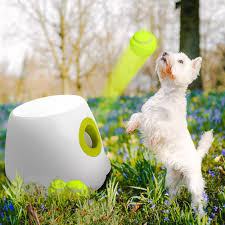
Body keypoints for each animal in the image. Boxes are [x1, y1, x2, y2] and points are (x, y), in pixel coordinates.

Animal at [126, 51, 214, 214]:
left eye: (181, 60)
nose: (164, 52)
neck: (167, 94)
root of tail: (197, 157)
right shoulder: (146, 116)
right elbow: (137, 116)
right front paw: (130, 126)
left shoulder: (169, 126)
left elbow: (160, 128)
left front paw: (153, 138)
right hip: (171, 179)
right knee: (173, 193)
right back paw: (168, 207)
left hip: (193, 182)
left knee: (198, 198)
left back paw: (199, 214)